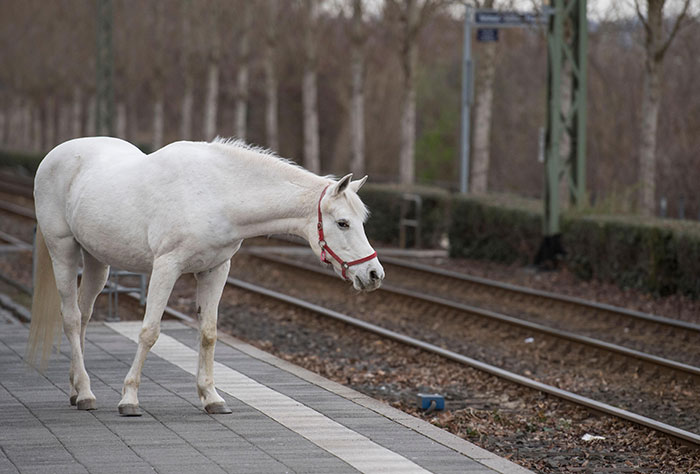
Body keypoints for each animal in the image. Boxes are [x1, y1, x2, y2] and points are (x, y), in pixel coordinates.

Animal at [27, 136, 384, 416]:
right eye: (342, 223)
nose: (374, 274)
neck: (217, 193)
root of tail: (53, 156)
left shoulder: (215, 270)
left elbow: (209, 333)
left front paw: (211, 398)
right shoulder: (166, 267)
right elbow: (149, 331)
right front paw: (129, 399)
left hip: (97, 261)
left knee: (85, 316)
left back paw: (76, 390)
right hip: (63, 251)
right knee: (72, 318)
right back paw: (86, 392)